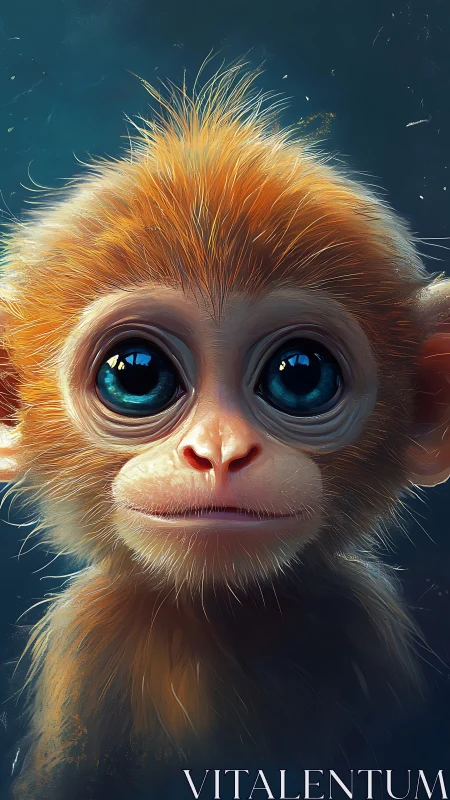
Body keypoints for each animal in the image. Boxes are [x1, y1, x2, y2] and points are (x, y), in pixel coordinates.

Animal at [0, 62, 448, 798]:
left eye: (300, 374)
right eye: (137, 372)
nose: (218, 452)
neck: (217, 619)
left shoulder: (365, 626)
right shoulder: (86, 644)